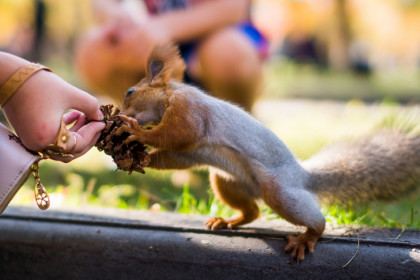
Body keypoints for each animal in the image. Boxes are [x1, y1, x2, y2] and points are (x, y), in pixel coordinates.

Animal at [116, 43, 420, 260]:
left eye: (130, 91)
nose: (120, 111)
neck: (169, 97)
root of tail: (302, 176)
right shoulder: (188, 152)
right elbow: (173, 156)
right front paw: (140, 158)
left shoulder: (190, 111)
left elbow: (177, 133)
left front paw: (137, 132)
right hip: (228, 182)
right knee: (253, 211)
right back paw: (228, 220)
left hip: (279, 192)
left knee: (315, 221)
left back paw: (307, 238)